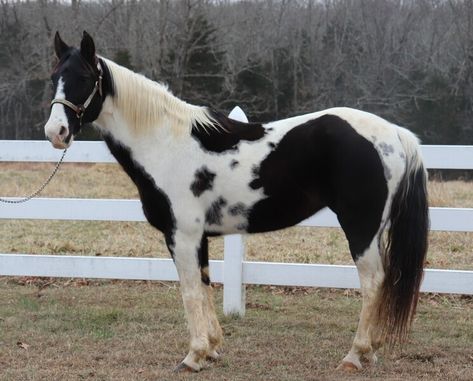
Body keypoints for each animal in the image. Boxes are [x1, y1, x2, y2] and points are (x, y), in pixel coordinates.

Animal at [43, 32, 428, 372]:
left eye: (84, 77)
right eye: (54, 77)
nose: (55, 132)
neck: (166, 143)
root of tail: (395, 134)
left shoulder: (181, 236)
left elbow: (189, 291)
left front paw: (192, 357)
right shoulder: (198, 238)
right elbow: (204, 285)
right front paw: (211, 349)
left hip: (361, 226)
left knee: (373, 281)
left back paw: (355, 354)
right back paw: (371, 351)